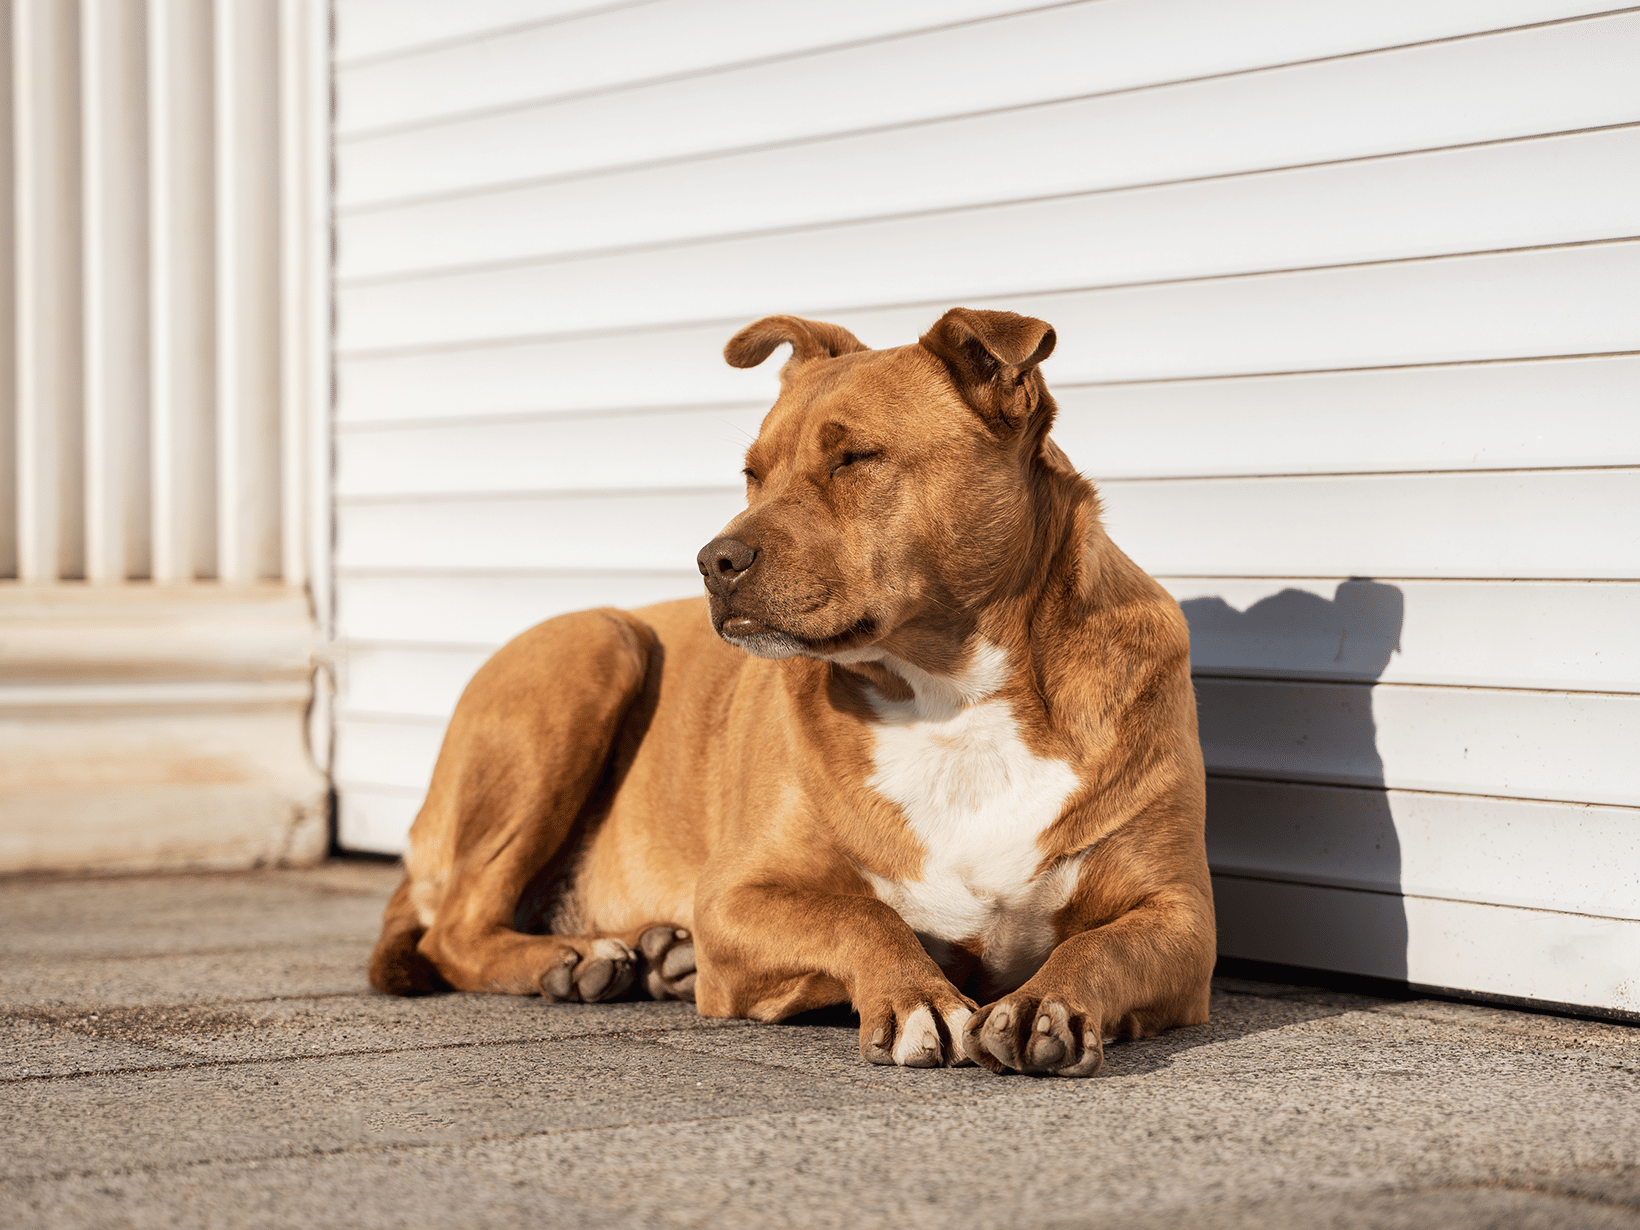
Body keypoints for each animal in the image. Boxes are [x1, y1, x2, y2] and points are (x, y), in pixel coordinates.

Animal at [375, 309, 1220, 1075]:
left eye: (854, 458)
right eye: (753, 473)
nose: (713, 560)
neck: (951, 696)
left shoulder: (1181, 918)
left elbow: (1099, 947)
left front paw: (1044, 1001)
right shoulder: (735, 896)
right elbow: (860, 915)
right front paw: (917, 997)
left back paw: (659, 954)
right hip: (596, 646)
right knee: (456, 928)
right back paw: (577, 959)